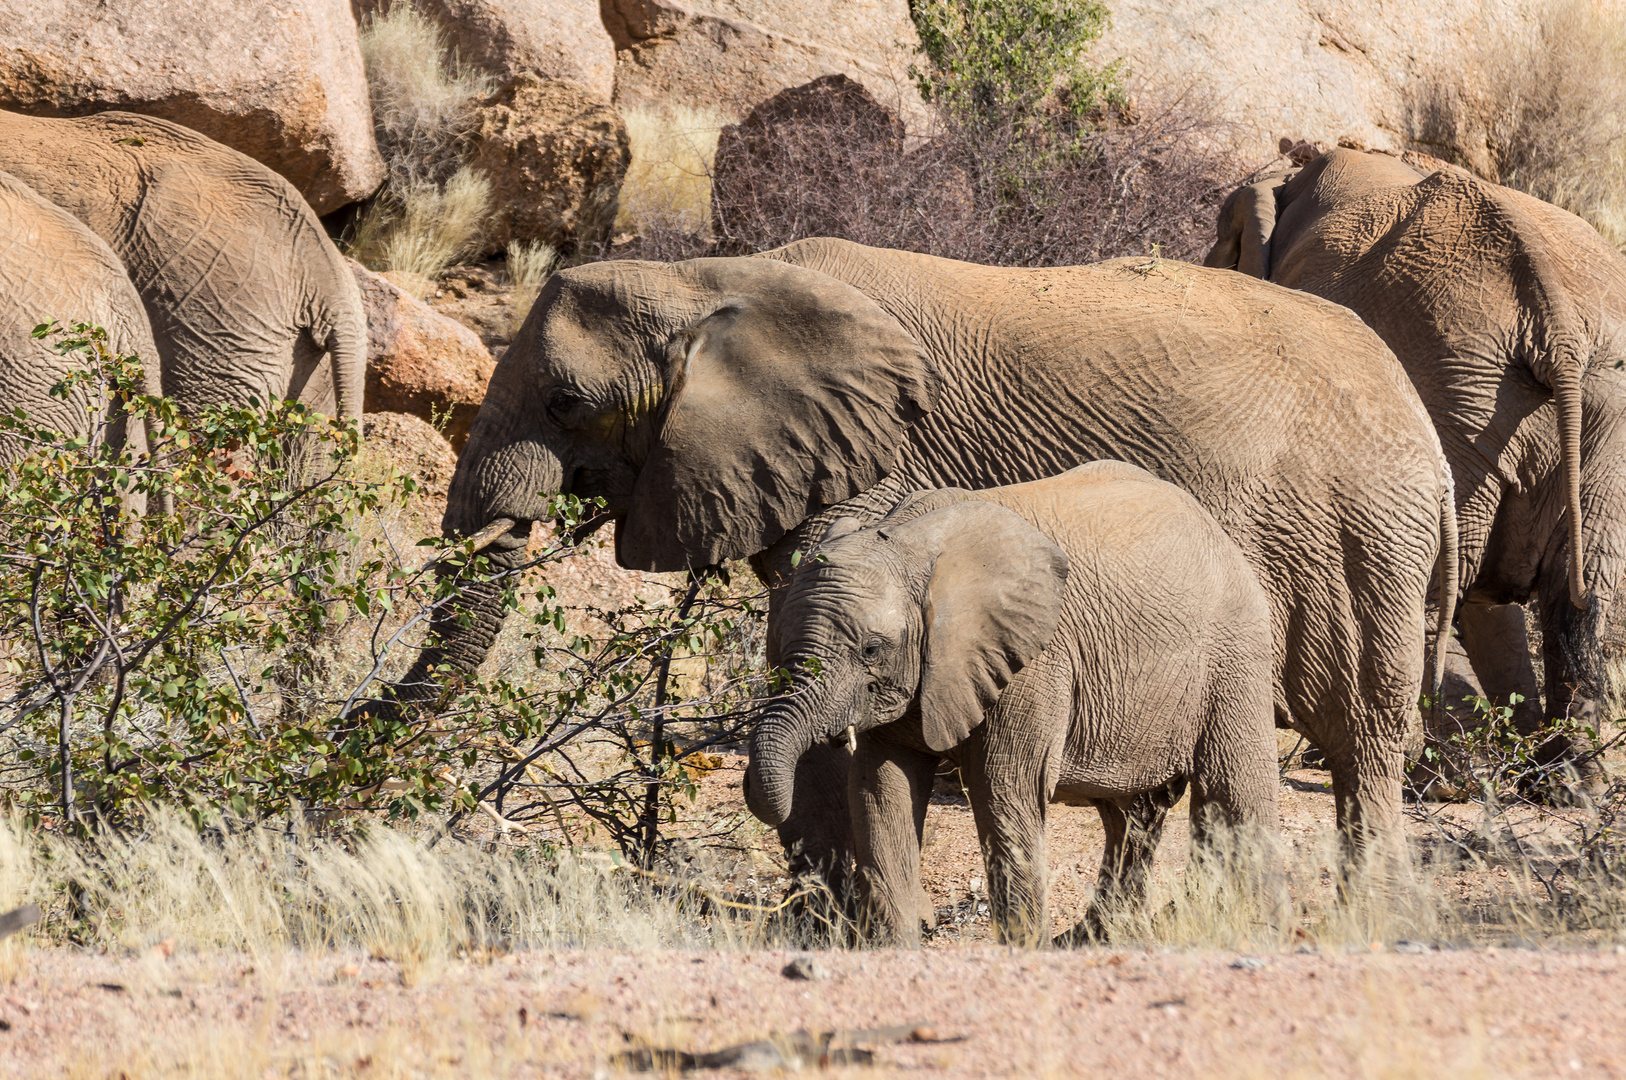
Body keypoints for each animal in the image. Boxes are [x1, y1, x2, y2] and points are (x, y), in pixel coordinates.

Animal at [396, 235, 1463, 884]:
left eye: (567, 403)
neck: (712, 277)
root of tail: (1426, 436)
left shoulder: (875, 469)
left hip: (1358, 546)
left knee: (1360, 740)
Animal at [744, 465, 1281, 943]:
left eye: (872, 650)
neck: (910, 540)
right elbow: (880, 790)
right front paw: (895, 949)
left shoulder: (1034, 659)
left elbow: (1002, 787)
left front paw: (1026, 950)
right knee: (1130, 816)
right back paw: (1098, 939)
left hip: (1235, 648)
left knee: (1230, 793)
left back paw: (1252, 930)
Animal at [1209, 149, 1626, 767]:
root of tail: (1557, 328)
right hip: (1577, 406)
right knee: (1575, 594)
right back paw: (1564, 776)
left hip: (1455, 393)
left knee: (1433, 589)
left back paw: (1432, 768)